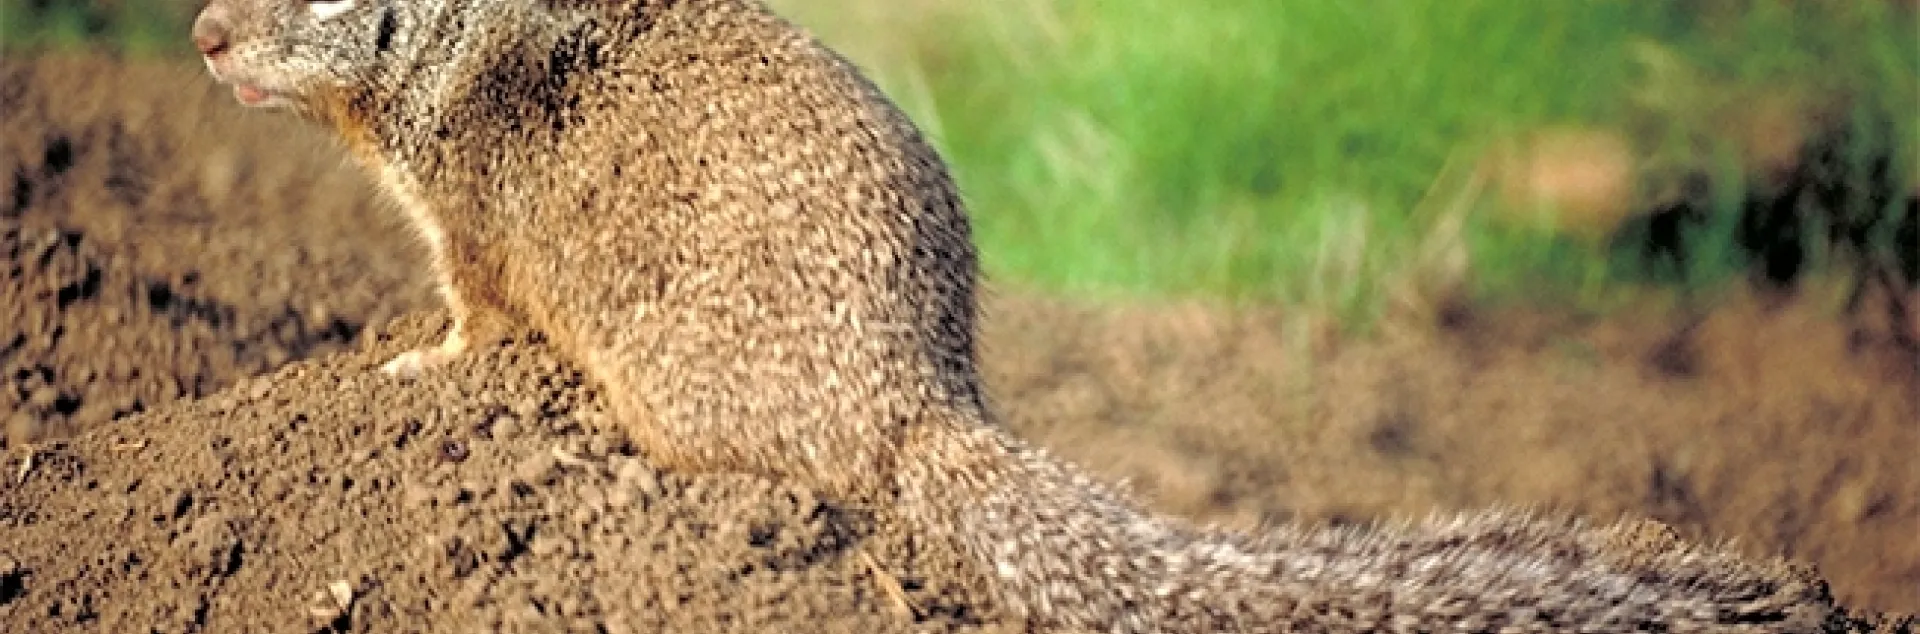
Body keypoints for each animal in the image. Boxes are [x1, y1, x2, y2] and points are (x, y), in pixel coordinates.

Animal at [188, 0, 1861, 631]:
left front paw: (408, 362)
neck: (449, 45)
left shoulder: (465, 231)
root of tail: (927, 401)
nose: (195, 33)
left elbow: (472, 318)